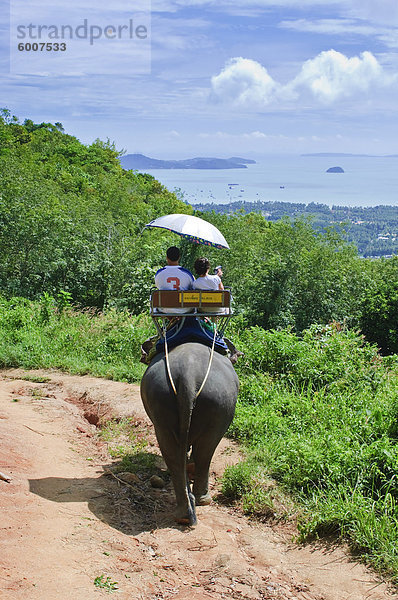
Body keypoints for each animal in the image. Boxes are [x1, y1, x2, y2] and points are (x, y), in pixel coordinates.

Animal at [141, 342, 239, 524]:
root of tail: (189, 376)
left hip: (161, 399)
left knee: (171, 449)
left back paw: (184, 513)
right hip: (218, 403)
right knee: (206, 450)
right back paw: (202, 499)